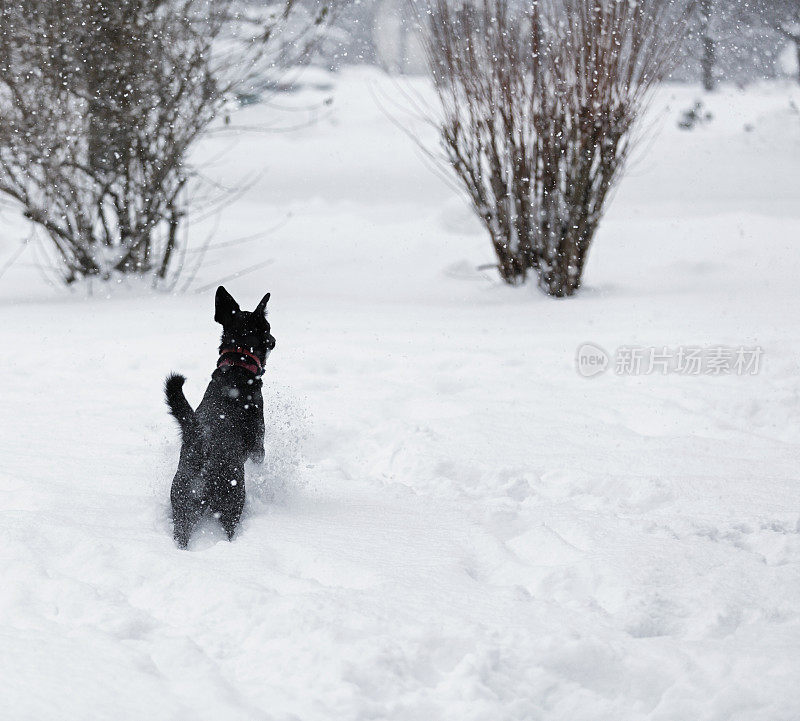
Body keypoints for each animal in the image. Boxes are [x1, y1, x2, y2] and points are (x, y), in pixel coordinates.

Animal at [165, 284, 276, 548]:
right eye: (268, 328)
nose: (275, 340)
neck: (238, 364)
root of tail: (201, 443)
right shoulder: (258, 444)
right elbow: (260, 456)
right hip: (233, 497)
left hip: (181, 501)